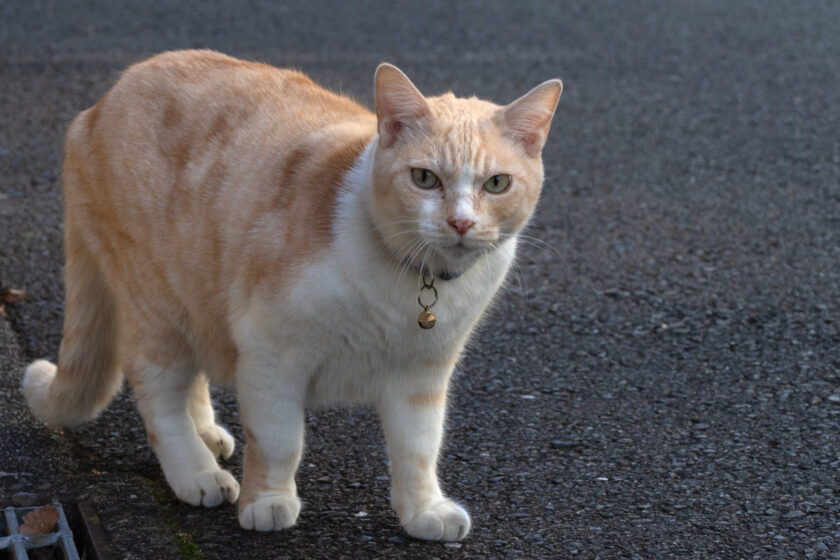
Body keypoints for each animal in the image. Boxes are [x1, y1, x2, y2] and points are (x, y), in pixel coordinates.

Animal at [21, 49, 556, 544]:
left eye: (496, 184)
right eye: (425, 178)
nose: (461, 222)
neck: (410, 285)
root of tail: (98, 105)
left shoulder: (422, 373)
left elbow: (419, 448)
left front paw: (423, 510)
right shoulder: (271, 353)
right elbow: (279, 440)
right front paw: (268, 502)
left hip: (194, 295)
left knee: (191, 376)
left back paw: (207, 435)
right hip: (156, 305)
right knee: (158, 394)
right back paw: (196, 470)